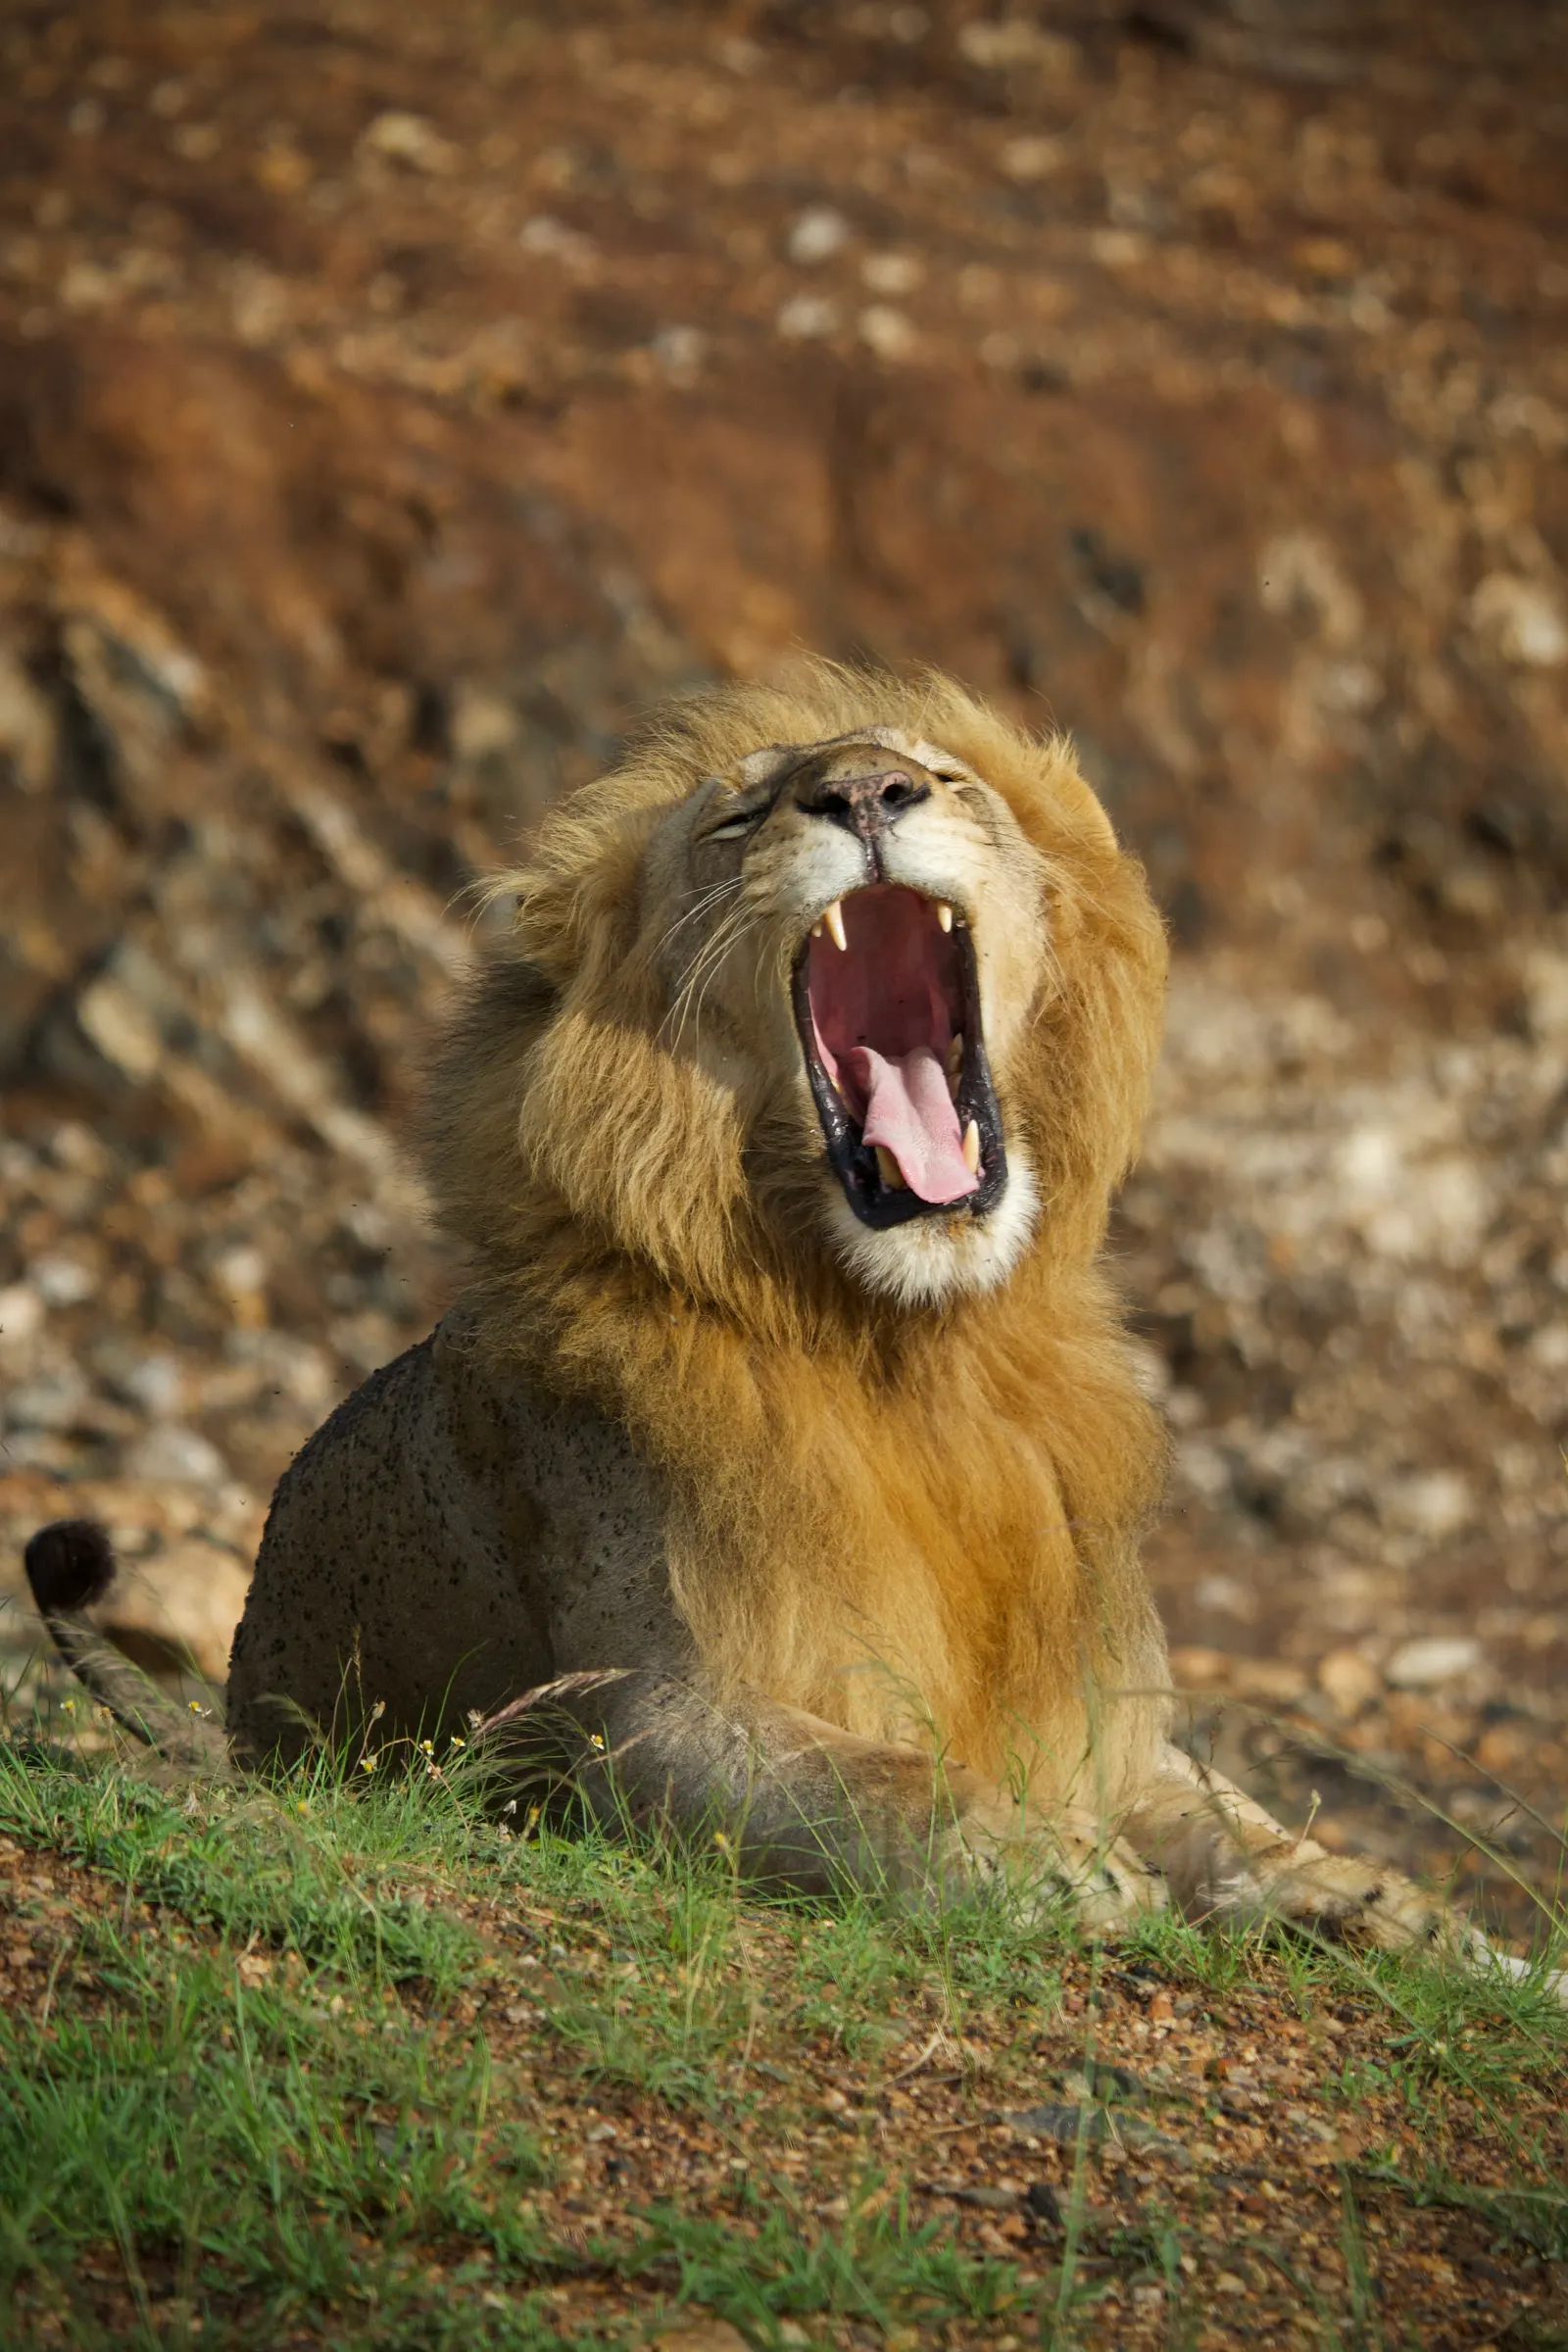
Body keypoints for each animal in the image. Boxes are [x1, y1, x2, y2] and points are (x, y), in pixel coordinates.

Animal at [24, 662, 1510, 1964]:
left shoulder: (1101, 1715)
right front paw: (1039, 1858)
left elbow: (1225, 1816)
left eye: (940, 777)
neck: (915, 1350)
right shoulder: (628, 1718)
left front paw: (1400, 1910)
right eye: (739, 818)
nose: (863, 793)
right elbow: (871, 1784)